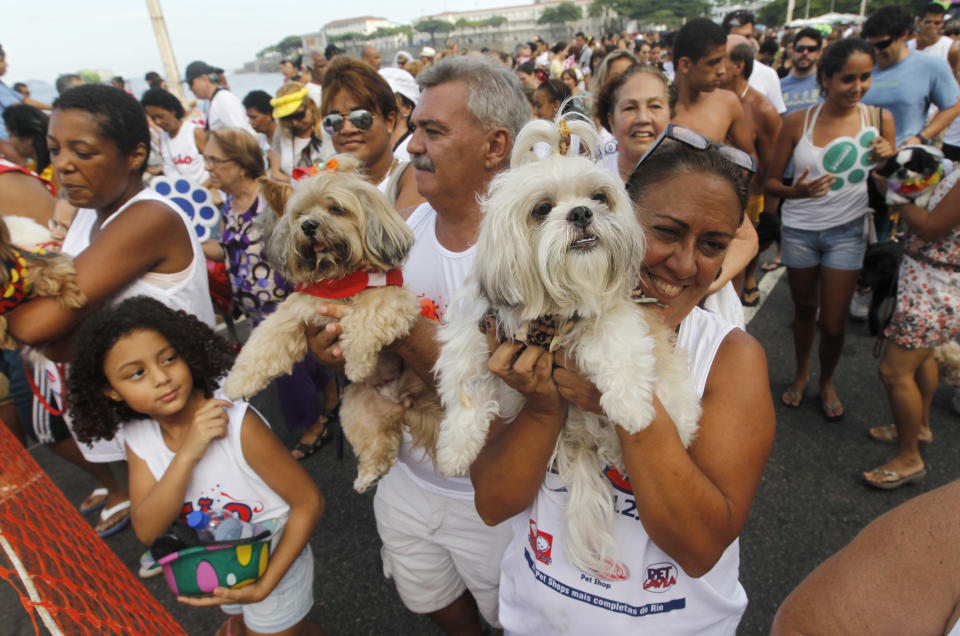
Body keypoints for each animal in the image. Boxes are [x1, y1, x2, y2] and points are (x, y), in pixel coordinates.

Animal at [434, 114, 696, 576]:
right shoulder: (475, 326)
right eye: (541, 210)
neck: (554, 309)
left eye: (599, 197)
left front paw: (632, 409)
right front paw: (455, 449)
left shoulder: (613, 318)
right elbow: (464, 387)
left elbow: (621, 351)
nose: (581, 212)